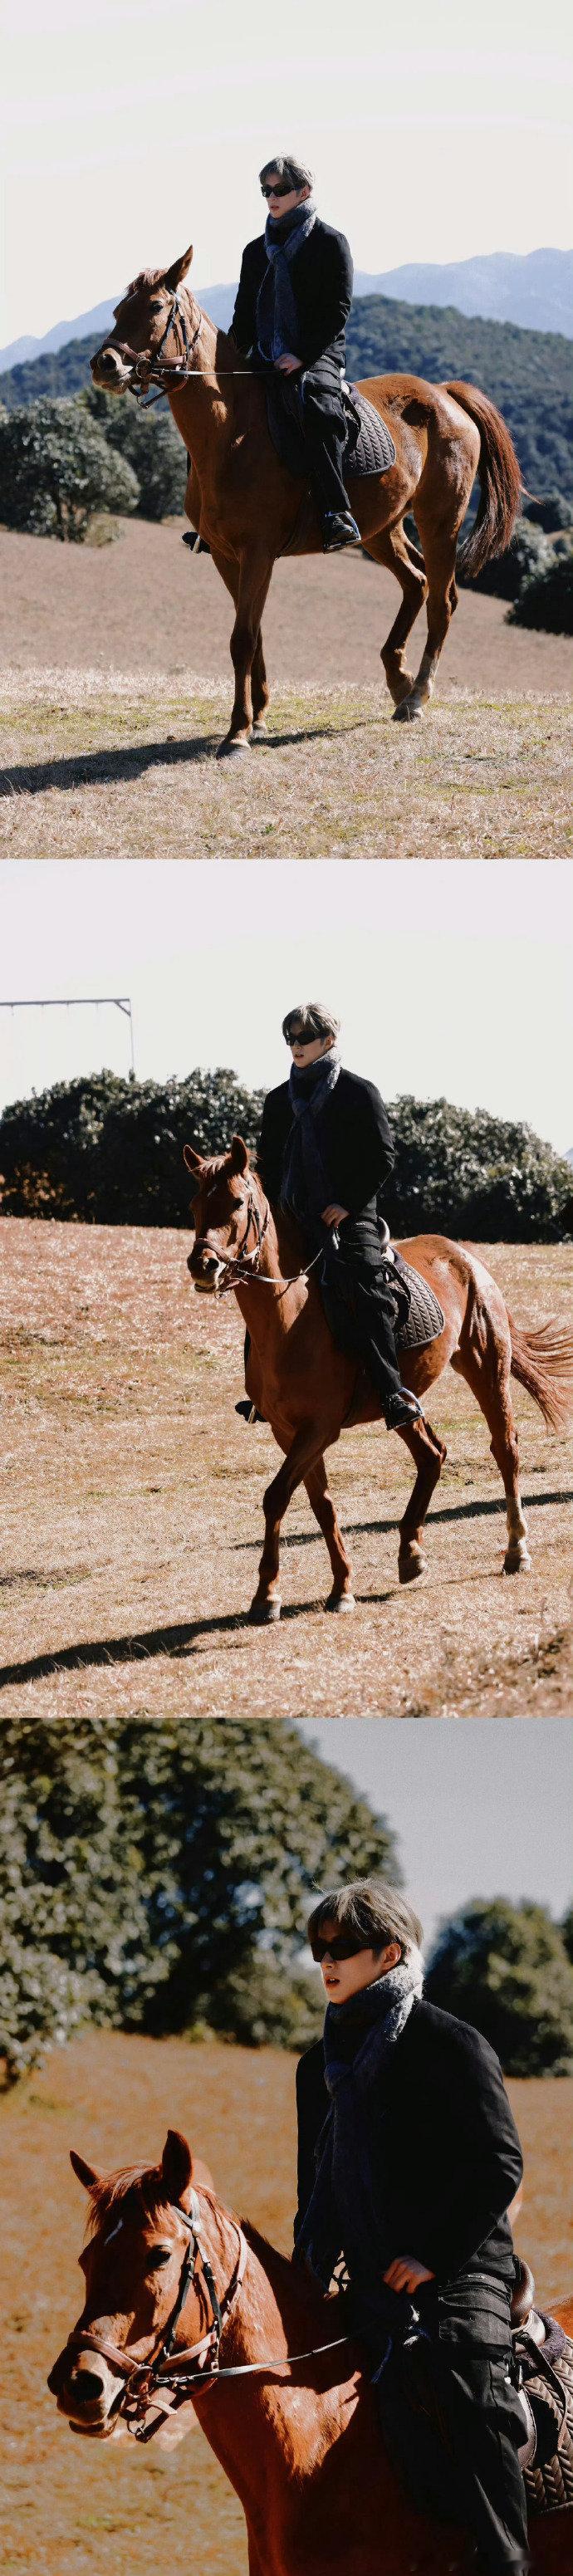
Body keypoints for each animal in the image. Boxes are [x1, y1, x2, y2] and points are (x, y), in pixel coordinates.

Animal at [90, 246, 523, 756]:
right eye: (119, 311)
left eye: (156, 307)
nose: (104, 364)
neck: (233, 432)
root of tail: (444, 393)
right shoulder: (225, 555)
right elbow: (253, 632)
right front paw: (257, 716)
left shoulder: (257, 553)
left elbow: (242, 637)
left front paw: (238, 732)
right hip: (379, 529)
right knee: (416, 583)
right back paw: (398, 681)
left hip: (440, 523)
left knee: (442, 599)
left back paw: (417, 695)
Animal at [183, 1136, 573, 1624]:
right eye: (195, 1205)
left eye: (237, 1202)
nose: (202, 1266)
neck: (289, 1318)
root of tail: (464, 1255)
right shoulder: (289, 1432)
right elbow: (321, 1504)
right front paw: (339, 1587)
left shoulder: (319, 1429)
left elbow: (276, 1496)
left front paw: (267, 1595)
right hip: (402, 1397)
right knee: (432, 1455)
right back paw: (410, 1552)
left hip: (486, 1366)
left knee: (505, 1449)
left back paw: (516, 1549)